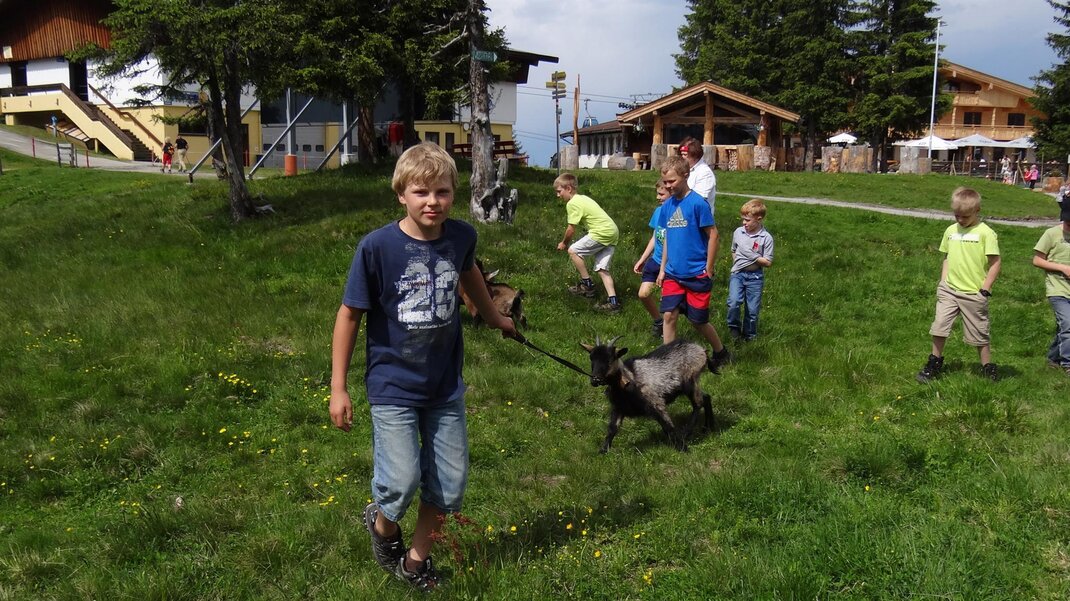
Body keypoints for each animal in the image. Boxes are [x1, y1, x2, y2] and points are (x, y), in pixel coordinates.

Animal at [580, 336, 713, 453]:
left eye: (609, 359)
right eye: (591, 358)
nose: (595, 380)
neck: (630, 378)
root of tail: (701, 350)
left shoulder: (654, 401)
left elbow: (667, 425)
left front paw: (683, 448)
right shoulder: (619, 407)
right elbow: (613, 428)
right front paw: (603, 450)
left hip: (690, 380)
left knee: (698, 403)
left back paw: (687, 432)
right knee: (706, 397)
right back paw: (708, 427)